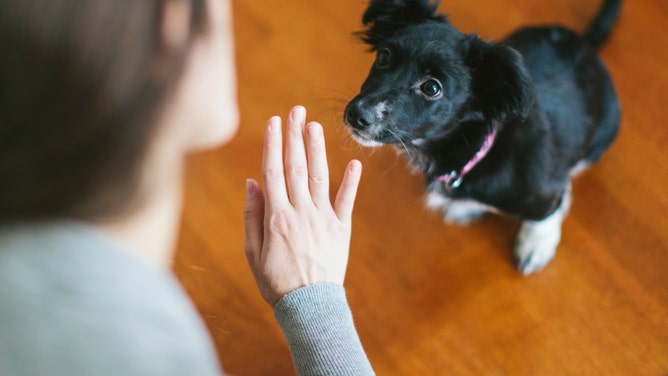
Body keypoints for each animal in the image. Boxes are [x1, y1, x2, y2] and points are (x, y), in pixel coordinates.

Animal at [344, 0, 620, 274]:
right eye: (384, 57)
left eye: (432, 88)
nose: (356, 114)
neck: (476, 150)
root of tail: (583, 43)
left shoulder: (543, 190)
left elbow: (544, 216)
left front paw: (537, 245)